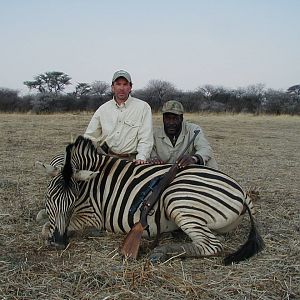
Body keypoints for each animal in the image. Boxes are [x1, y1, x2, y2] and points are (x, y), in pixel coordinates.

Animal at [36, 136, 264, 264]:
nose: (59, 242)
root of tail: (242, 191)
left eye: (72, 200)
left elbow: (47, 227)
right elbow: (44, 217)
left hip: (177, 200)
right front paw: (43, 216)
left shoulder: (92, 216)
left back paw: (161, 252)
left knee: (212, 245)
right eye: (49, 197)